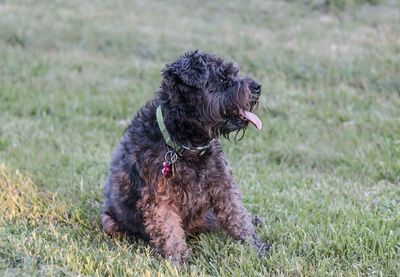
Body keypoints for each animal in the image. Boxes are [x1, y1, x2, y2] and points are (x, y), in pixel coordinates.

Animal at [100, 50, 270, 264]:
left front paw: (255, 247)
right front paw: (178, 261)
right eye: (223, 79)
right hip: (110, 222)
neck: (188, 145)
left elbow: (237, 217)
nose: (257, 86)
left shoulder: (223, 185)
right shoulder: (159, 196)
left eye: (234, 73)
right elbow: (168, 230)